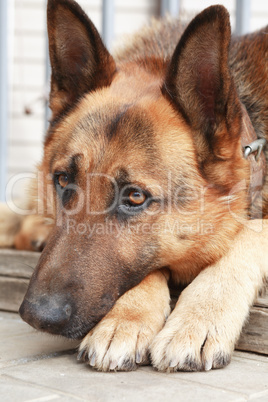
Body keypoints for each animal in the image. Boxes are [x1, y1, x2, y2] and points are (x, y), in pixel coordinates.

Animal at [0, 0, 268, 372]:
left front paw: (198, 320)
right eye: (63, 180)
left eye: (135, 197)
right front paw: (126, 318)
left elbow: (252, 233)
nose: (38, 316)